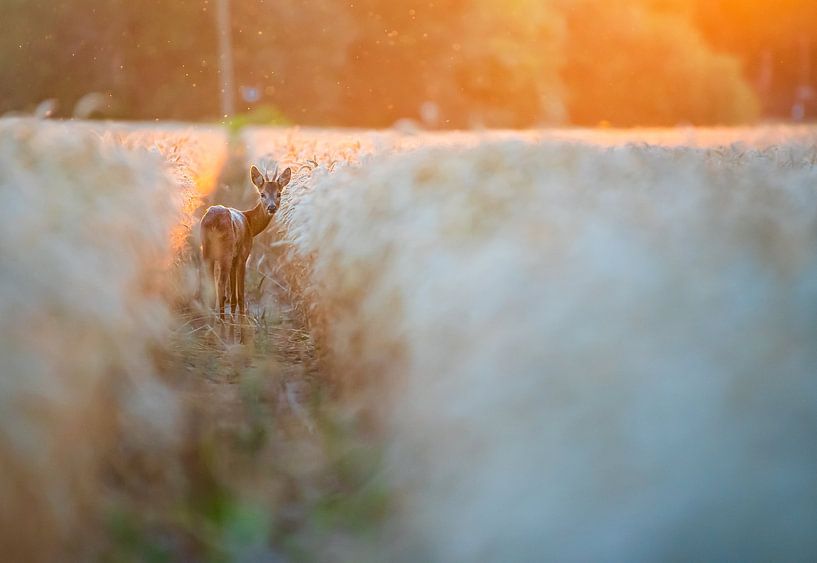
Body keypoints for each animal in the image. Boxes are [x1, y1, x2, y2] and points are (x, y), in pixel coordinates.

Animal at [200, 165, 290, 320]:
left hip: (207, 252)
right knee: (220, 284)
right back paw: (221, 320)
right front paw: (242, 320)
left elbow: (233, 296)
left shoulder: (234, 259)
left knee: (209, 285)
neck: (250, 224)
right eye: (262, 194)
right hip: (225, 252)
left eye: (279, 194)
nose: (271, 207)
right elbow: (240, 294)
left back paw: (211, 319)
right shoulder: (242, 256)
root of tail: (213, 221)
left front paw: (234, 318)